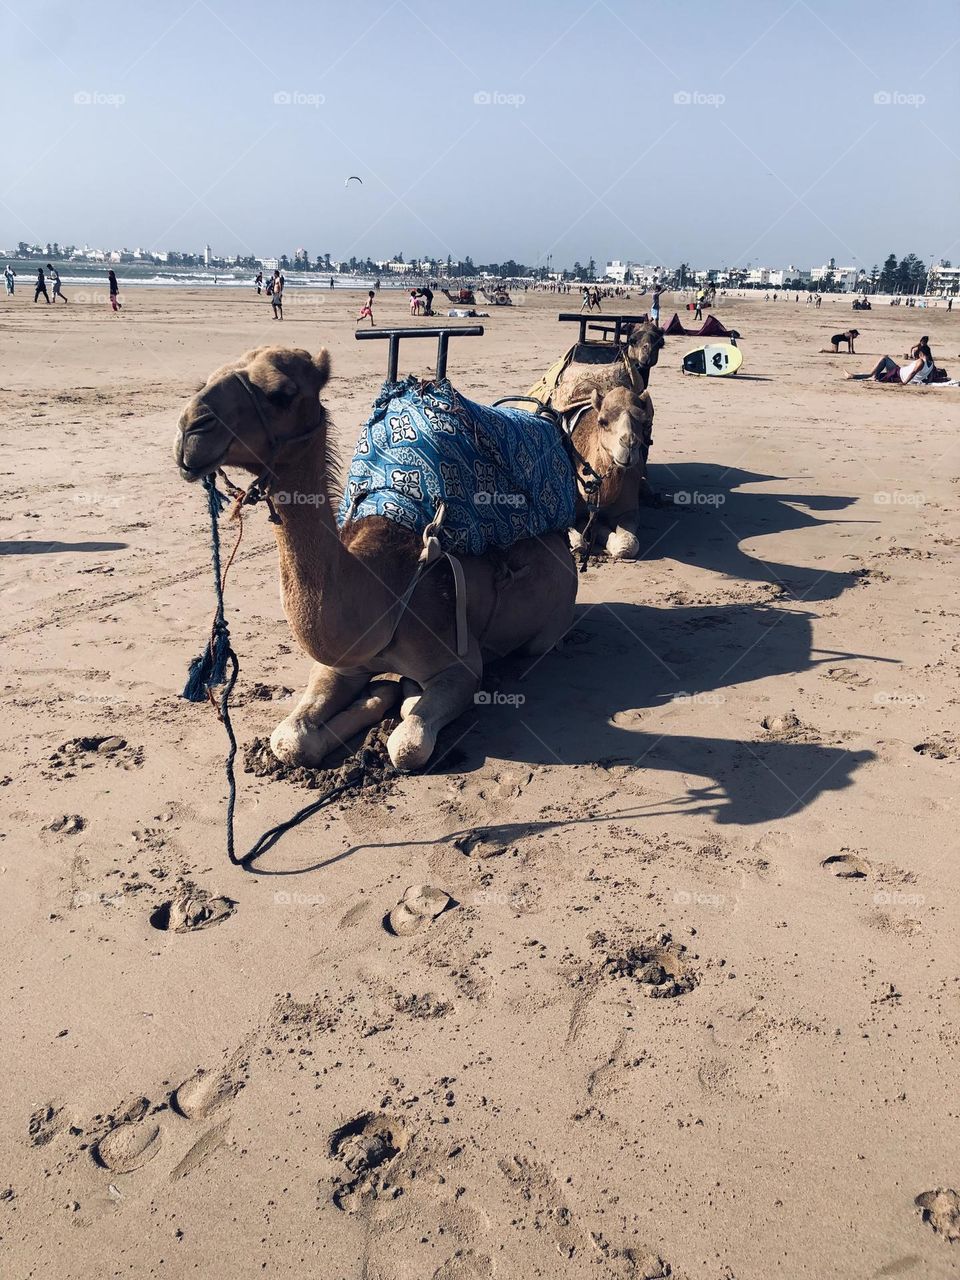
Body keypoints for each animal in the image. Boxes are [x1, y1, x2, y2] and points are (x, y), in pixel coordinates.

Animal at [174, 340, 578, 773]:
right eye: (207, 379)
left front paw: (399, 695)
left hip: (550, 626)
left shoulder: (461, 667)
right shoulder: (339, 665)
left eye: (280, 393)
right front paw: (378, 695)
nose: (190, 429)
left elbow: (407, 745)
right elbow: (289, 739)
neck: (382, 592)